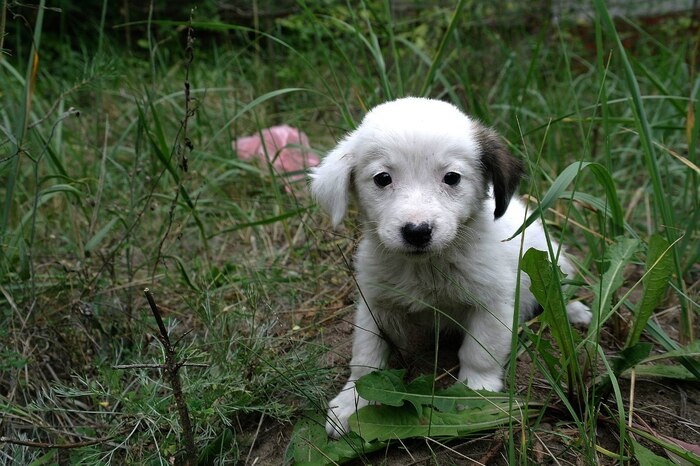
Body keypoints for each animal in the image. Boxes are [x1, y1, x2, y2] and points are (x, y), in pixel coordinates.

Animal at [312, 97, 592, 436]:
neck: (427, 268)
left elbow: (479, 352)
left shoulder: (492, 304)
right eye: (382, 178)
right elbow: (367, 356)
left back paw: (574, 310)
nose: (417, 231)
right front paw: (353, 400)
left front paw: (475, 392)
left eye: (452, 178)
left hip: (554, 262)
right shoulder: (375, 302)